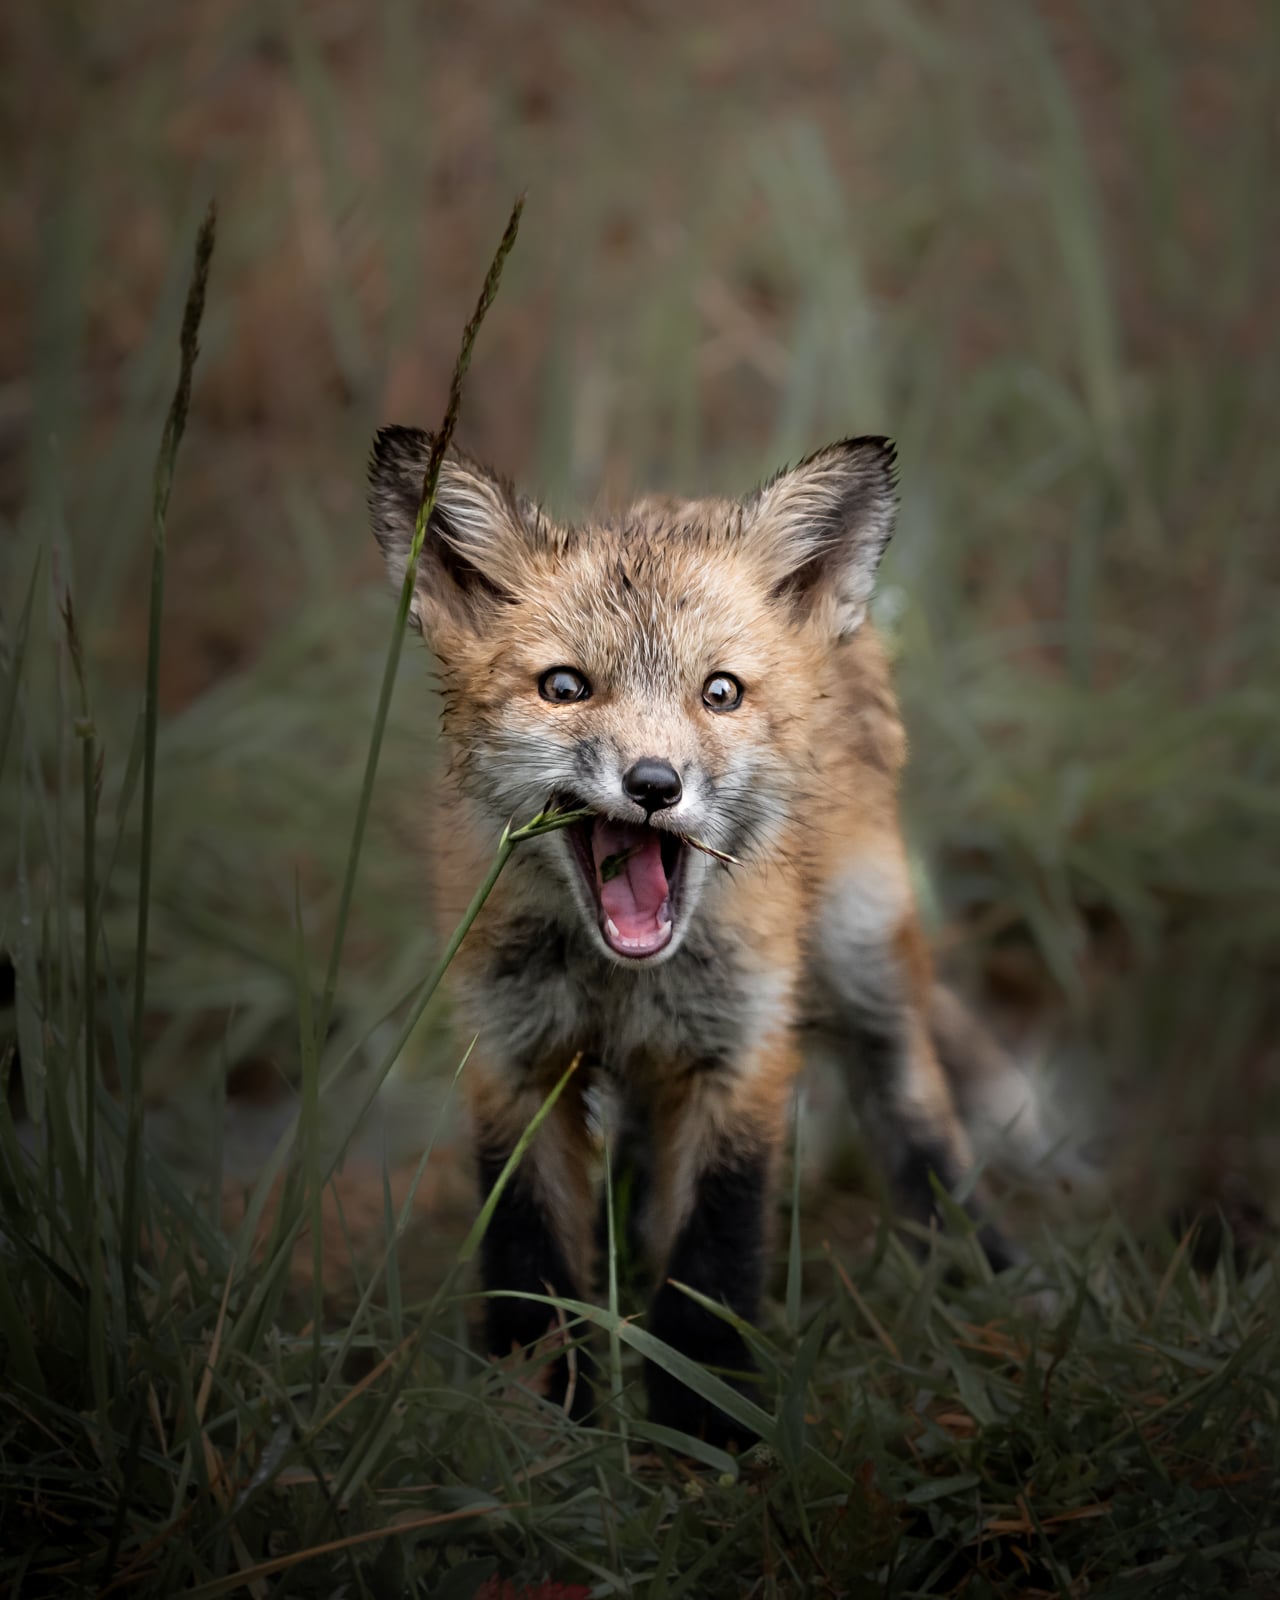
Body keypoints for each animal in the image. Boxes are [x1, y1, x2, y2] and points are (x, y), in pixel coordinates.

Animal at [367, 426, 1030, 1447]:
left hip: (862, 959)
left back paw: (979, 1276)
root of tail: (682, 500)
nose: (653, 784)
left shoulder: (741, 1052)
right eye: (565, 687)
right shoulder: (512, 1059)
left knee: (916, 1113)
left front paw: (705, 1431)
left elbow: (712, 1262)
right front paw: (540, 1430)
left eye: (719, 692)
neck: (622, 981)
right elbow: (533, 1272)